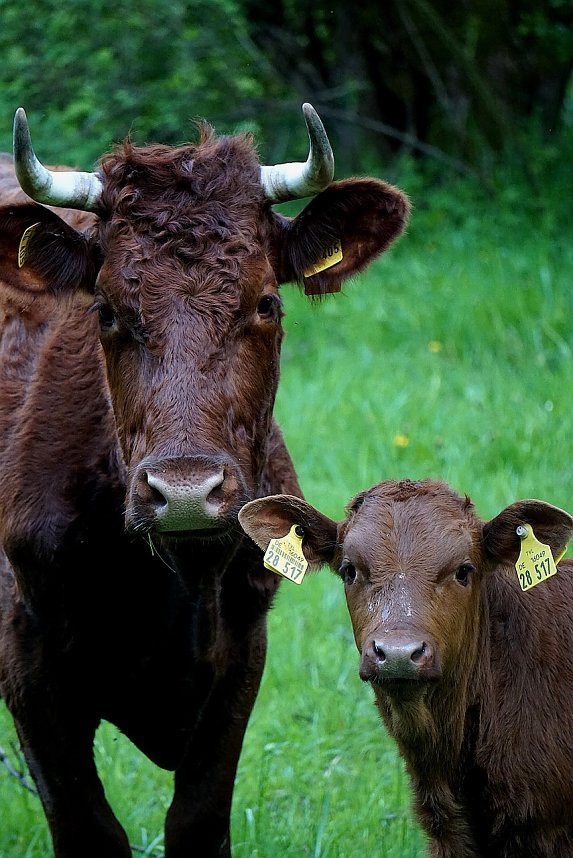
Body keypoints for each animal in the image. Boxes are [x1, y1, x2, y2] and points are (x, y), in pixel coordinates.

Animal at [0, 104, 410, 857]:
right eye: (105, 309)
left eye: (267, 303)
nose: (186, 491)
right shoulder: (27, 657)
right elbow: (88, 827)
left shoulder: (242, 650)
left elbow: (196, 819)